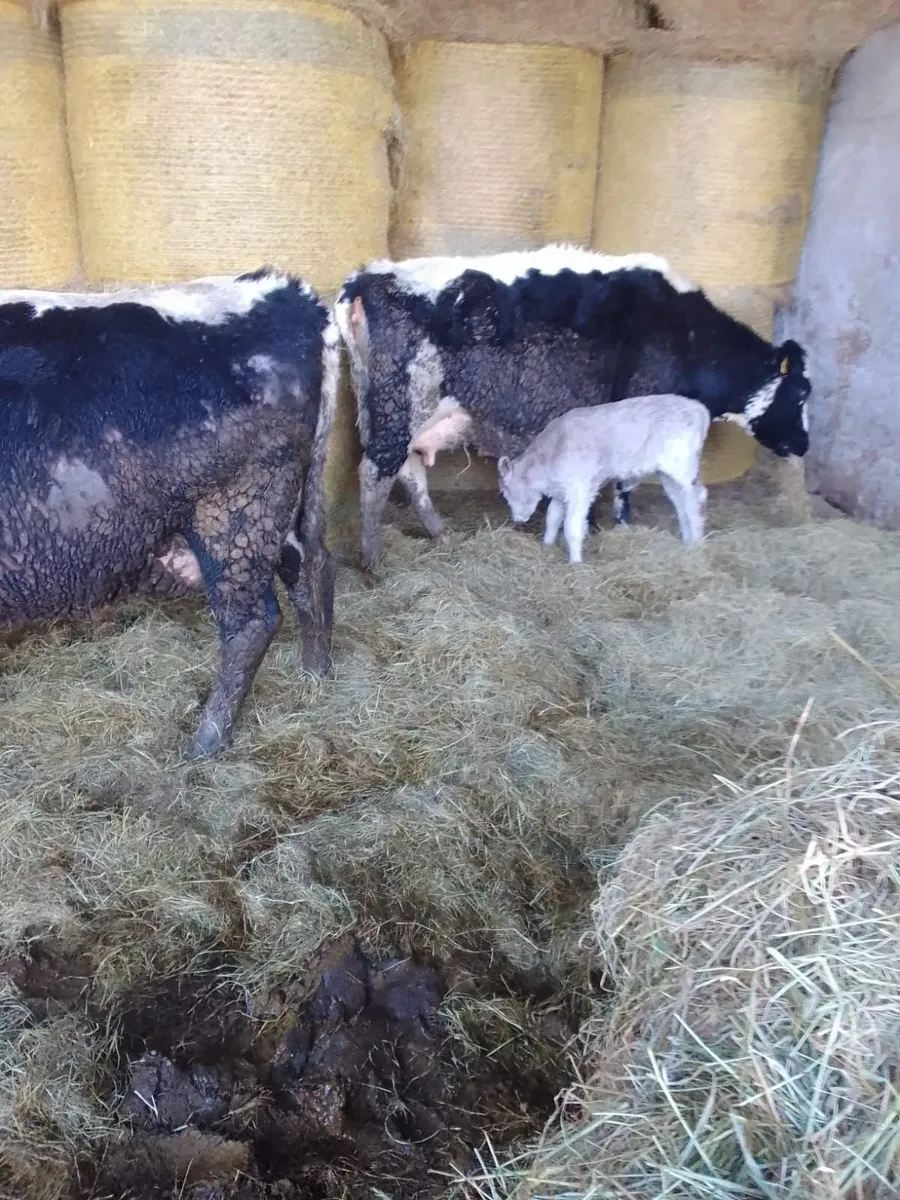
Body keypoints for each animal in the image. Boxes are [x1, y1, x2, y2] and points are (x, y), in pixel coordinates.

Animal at [0, 268, 337, 759]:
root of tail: (280, 288)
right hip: (284, 507)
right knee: (311, 568)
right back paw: (315, 676)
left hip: (235, 510)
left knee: (251, 621)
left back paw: (207, 741)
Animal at [333, 244, 812, 570]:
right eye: (803, 393)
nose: (804, 445)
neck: (686, 333)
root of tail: (369, 276)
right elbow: (623, 482)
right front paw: (614, 526)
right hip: (401, 406)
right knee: (376, 473)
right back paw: (373, 559)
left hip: (391, 414)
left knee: (408, 471)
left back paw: (438, 532)